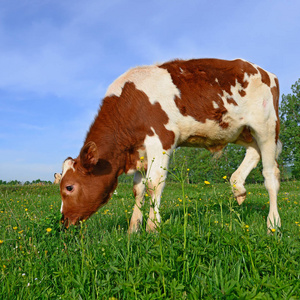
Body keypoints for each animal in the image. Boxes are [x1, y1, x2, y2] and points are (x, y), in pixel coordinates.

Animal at [60, 58, 282, 232]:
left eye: (69, 187)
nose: (63, 222)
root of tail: (266, 72)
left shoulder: (161, 138)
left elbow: (154, 183)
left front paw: (152, 227)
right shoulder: (139, 150)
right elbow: (138, 189)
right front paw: (133, 229)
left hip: (266, 126)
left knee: (270, 175)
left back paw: (273, 224)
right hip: (241, 130)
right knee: (254, 151)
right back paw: (238, 188)